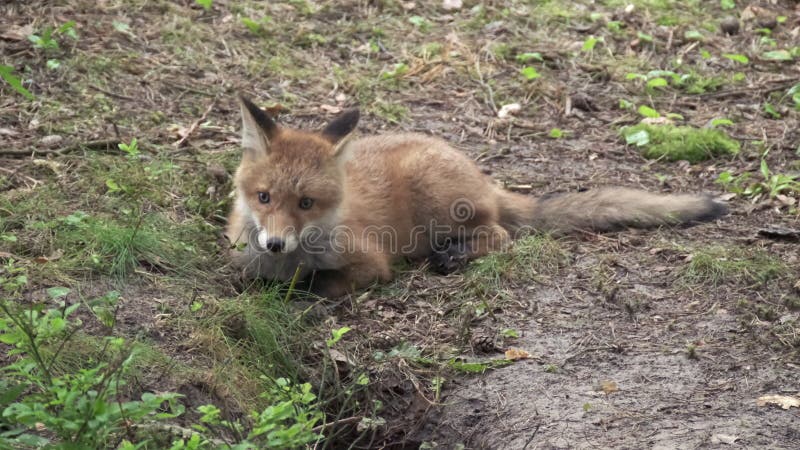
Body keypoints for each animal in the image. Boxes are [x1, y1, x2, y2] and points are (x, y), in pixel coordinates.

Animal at [223, 96, 724, 298]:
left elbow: (314, 283)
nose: (275, 244)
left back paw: (456, 254)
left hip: (439, 199)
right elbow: (248, 276)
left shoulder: (371, 264)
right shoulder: (242, 257)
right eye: (264, 197)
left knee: (500, 234)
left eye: (306, 203)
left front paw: (292, 285)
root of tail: (477, 172)